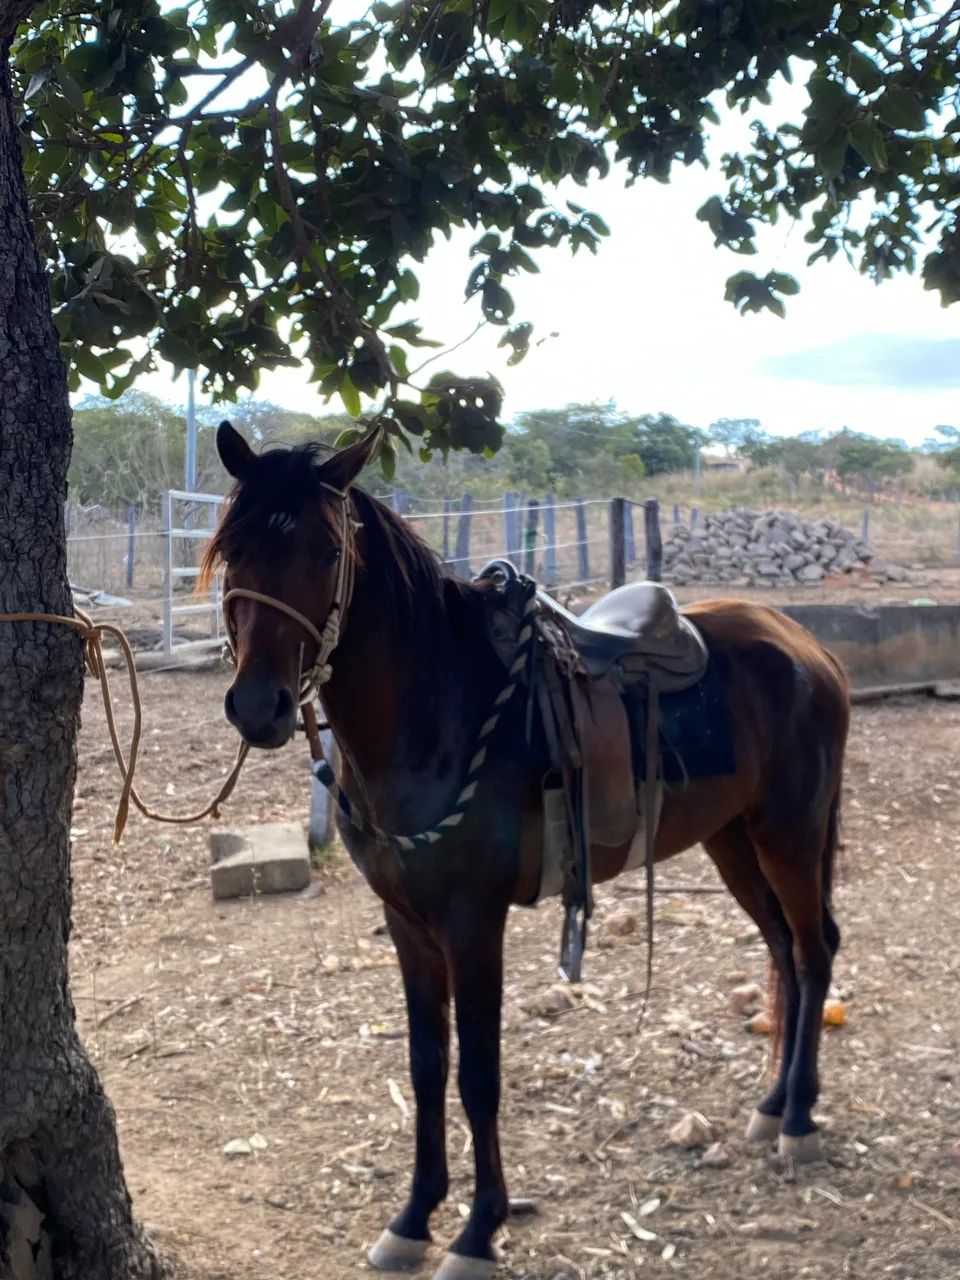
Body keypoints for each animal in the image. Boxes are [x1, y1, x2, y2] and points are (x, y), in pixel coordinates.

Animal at [202, 422, 850, 1280]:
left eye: (325, 549)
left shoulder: (474, 923)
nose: (259, 706)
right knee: (780, 947)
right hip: (733, 840)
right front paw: (413, 1217)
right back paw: (772, 1105)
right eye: (233, 547)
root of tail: (807, 644)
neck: (437, 710)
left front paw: (478, 1232)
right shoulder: (408, 924)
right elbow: (426, 1066)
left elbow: (478, 1076)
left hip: (789, 835)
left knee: (813, 950)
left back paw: (799, 1120)